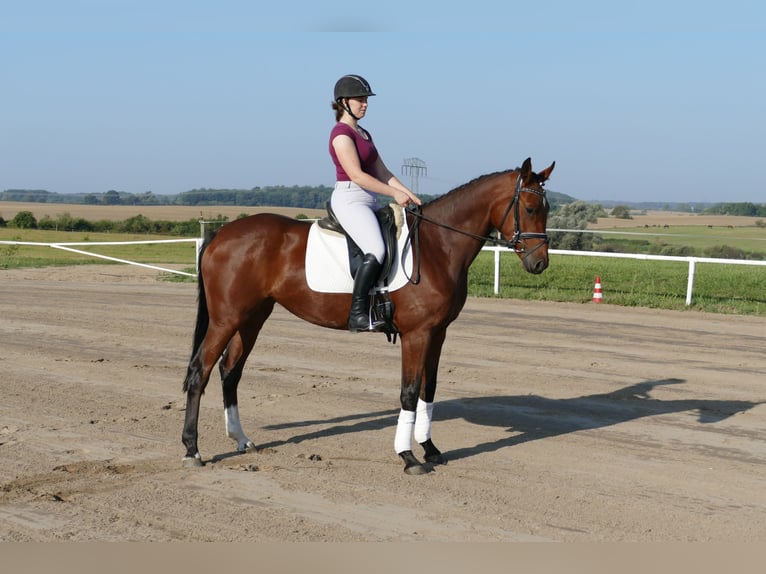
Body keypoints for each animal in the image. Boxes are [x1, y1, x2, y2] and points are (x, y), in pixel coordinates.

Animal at [186, 159, 560, 476]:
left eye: (546, 209)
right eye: (529, 208)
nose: (540, 263)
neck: (438, 245)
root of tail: (222, 234)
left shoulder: (437, 333)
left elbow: (429, 390)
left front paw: (430, 448)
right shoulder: (416, 334)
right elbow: (409, 391)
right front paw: (408, 457)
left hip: (252, 317)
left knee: (230, 371)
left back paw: (241, 439)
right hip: (226, 319)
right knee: (201, 371)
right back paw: (192, 450)